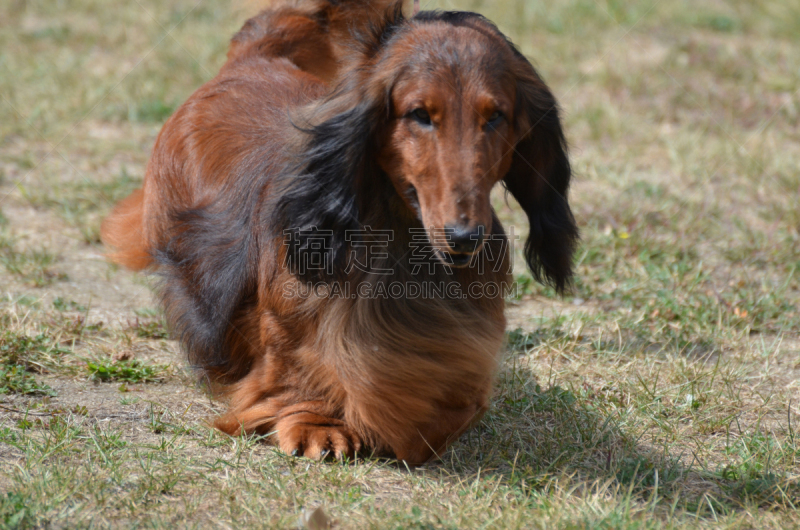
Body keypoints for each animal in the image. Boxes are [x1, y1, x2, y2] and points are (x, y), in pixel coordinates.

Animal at [101, 0, 576, 462]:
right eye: (420, 114)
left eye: (495, 117)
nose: (464, 237)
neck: (402, 241)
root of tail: (254, 56)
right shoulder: (288, 320)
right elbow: (298, 366)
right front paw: (319, 425)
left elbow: (454, 407)